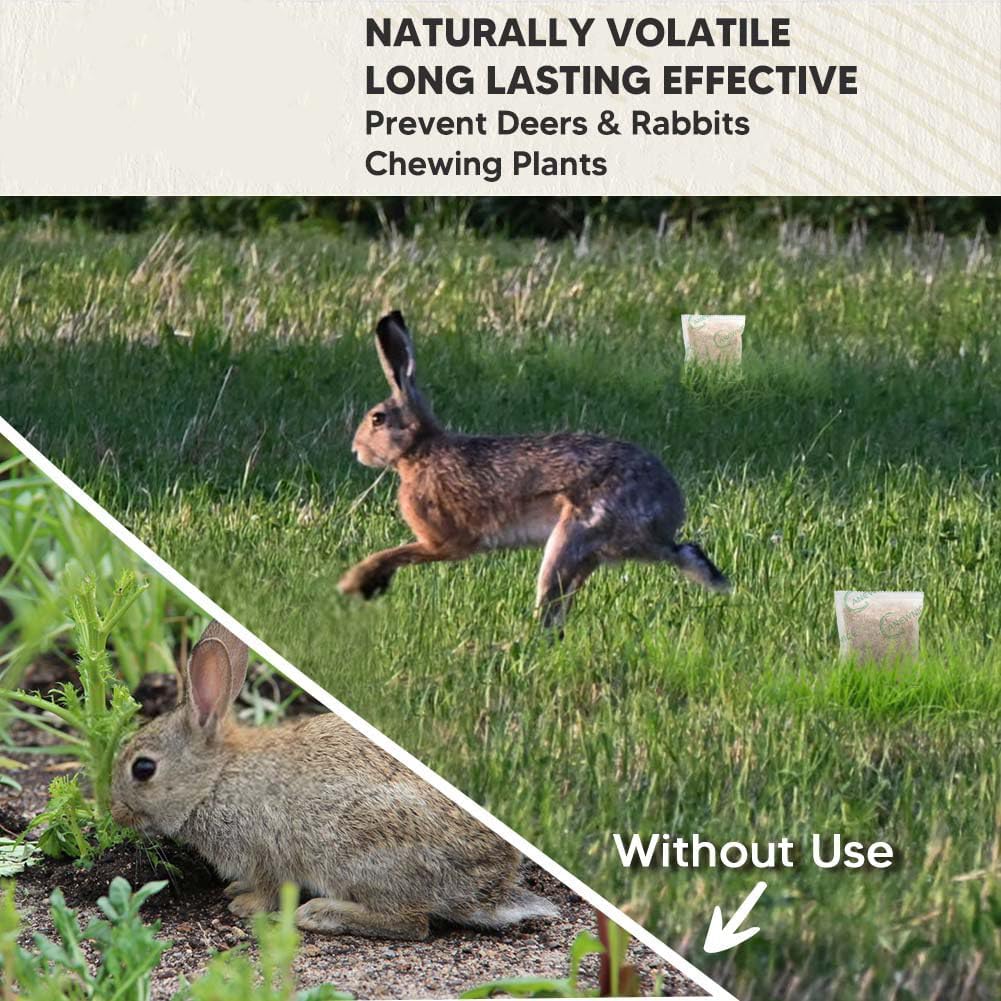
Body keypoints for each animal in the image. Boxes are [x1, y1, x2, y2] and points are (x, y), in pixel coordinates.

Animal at [110, 620, 557, 939]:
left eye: (143, 769)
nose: (115, 813)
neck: (215, 778)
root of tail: (489, 892)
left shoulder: (264, 850)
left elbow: (270, 889)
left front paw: (245, 906)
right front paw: (235, 891)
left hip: (361, 851)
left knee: (412, 923)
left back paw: (320, 913)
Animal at [339, 311, 731, 627]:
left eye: (377, 419)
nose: (356, 450)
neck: (420, 453)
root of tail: (667, 510)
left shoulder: (444, 541)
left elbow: (402, 552)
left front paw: (356, 582)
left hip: (574, 535)